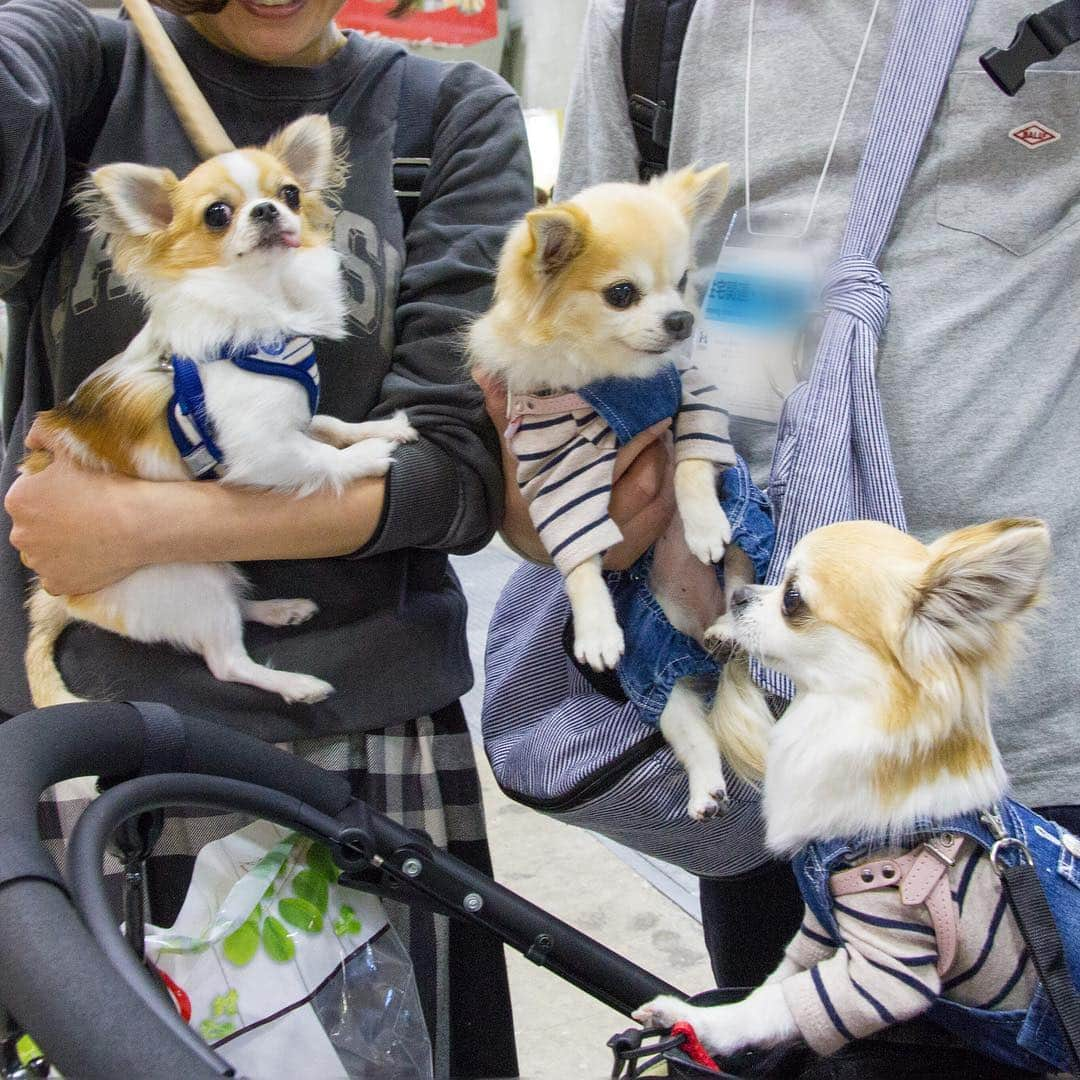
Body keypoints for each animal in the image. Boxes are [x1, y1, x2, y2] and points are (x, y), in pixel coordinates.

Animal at [26, 116, 412, 708]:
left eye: (290, 194)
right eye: (217, 214)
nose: (268, 210)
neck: (265, 305)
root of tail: (64, 600)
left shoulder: (295, 415)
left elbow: (327, 423)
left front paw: (379, 427)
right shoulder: (261, 449)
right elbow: (319, 457)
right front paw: (370, 454)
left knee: (236, 608)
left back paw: (279, 609)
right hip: (189, 577)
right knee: (226, 661)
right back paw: (297, 684)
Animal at [473, 166, 777, 816]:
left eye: (683, 281)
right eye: (621, 294)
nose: (681, 319)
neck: (612, 380)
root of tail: (698, 646)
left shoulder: (693, 399)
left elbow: (691, 465)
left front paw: (702, 525)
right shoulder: (553, 467)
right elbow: (580, 556)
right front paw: (595, 630)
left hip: (749, 517)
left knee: (741, 579)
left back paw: (726, 618)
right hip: (657, 680)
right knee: (692, 732)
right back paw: (707, 791)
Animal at [635, 518, 1080, 1075]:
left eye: (793, 598)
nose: (738, 594)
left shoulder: (885, 970)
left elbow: (782, 1006)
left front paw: (706, 1026)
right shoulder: (820, 935)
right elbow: (770, 990)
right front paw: (698, 1024)